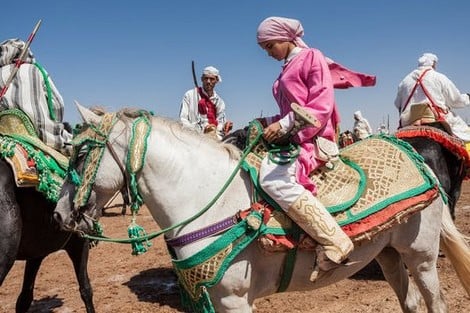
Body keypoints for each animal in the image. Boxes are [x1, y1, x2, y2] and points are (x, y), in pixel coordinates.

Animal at [54, 103, 470, 312]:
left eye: (81, 153)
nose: (58, 214)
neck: (210, 203)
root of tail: (414, 155)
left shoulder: (234, 301)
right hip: (387, 254)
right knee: (411, 303)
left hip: (421, 255)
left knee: (435, 302)